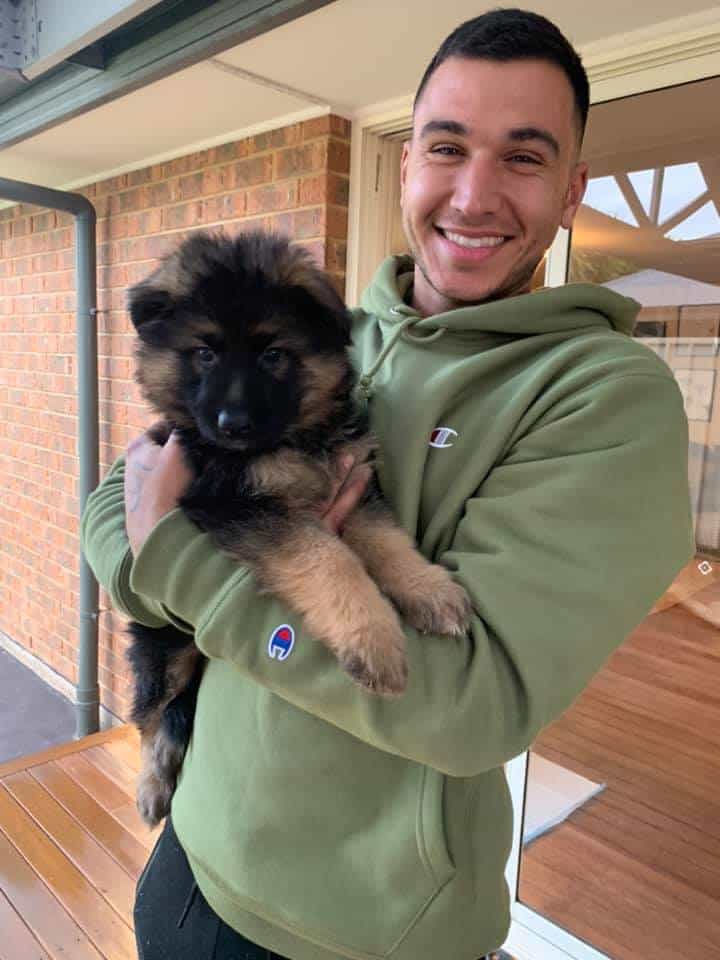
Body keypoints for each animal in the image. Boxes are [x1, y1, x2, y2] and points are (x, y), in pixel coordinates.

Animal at [126, 229, 470, 820]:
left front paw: (428, 589)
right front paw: (374, 639)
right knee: (152, 713)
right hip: (164, 645)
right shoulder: (238, 503)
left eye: (273, 355)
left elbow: (385, 542)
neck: (290, 441)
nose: (233, 425)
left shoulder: (354, 485)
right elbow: (327, 557)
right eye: (204, 353)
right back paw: (151, 784)